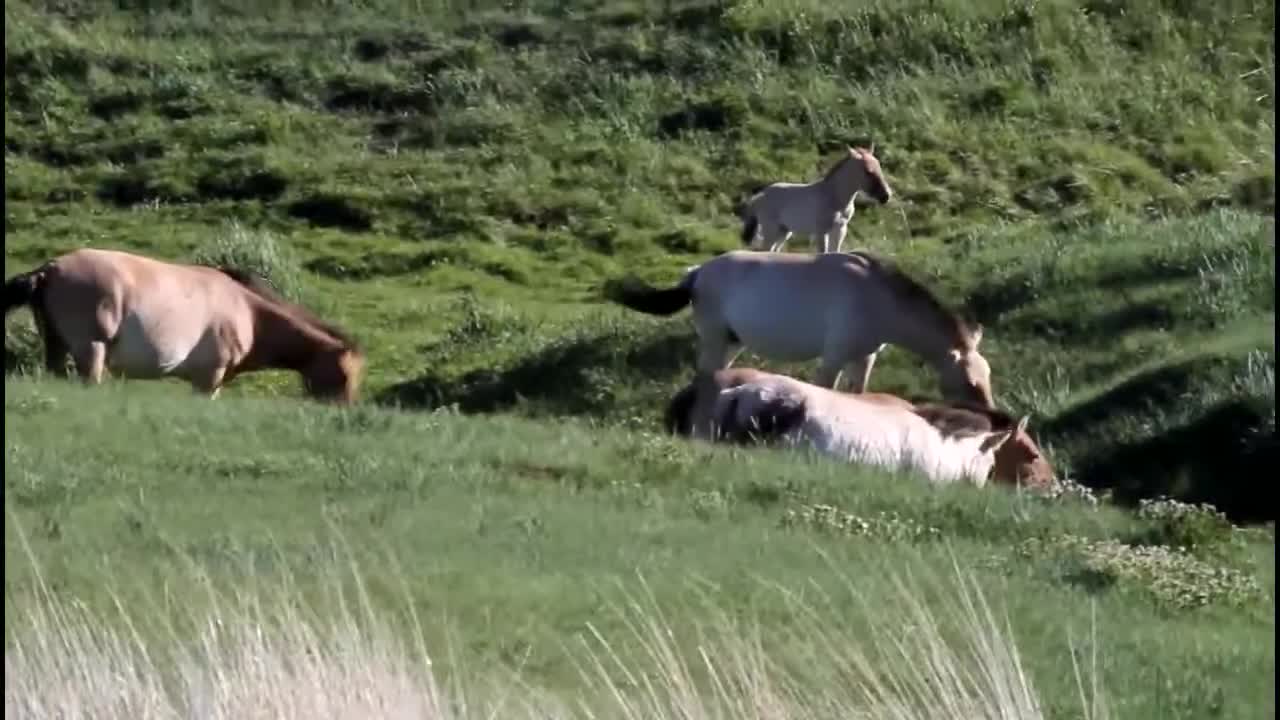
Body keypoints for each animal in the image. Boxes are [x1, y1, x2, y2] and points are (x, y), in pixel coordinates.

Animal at [5, 245, 366, 404]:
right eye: (344, 374)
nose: (344, 410)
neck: (247, 309)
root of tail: (49, 268)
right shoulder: (208, 378)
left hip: (56, 345)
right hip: (91, 350)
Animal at [604, 245, 993, 407]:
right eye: (970, 383)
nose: (991, 412)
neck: (877, 295)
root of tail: (696, 274)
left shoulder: (864, 357)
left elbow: (859, 392)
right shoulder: (834, 357)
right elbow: (826, 389)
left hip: (731, 343)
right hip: (715, 340)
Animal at [737, 144, 896, 253]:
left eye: (879, 166)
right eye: (868, 171)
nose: (886, 196)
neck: (834, 197)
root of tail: (760, 196)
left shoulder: (840, 229)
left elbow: (834, 252)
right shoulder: (821, 232)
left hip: (784, 231)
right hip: (771, 230)